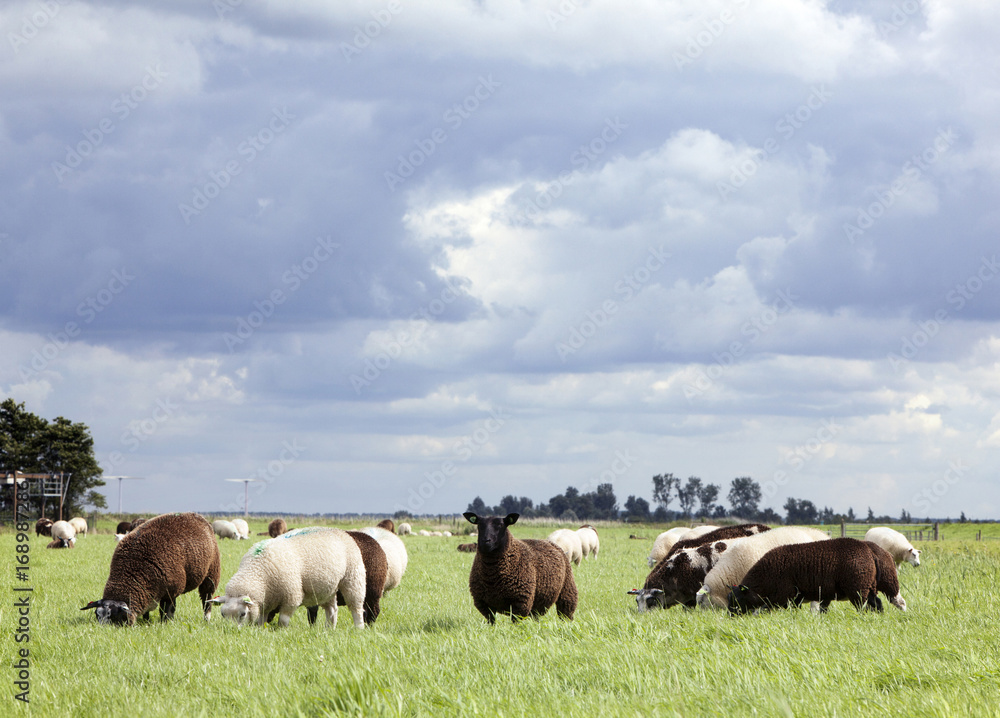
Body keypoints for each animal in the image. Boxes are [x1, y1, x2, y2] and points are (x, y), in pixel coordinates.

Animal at [81, 516, 223, 628]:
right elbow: (148, 611)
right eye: (97, 615)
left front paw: (166, 623)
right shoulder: (147, 591)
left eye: (115, 616)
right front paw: (147, 621)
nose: (102, 631)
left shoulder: (170, 591)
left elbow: (166, 611)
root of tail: (197, 516)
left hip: (211, 575)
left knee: (206, 599)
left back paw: (206, 619)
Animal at [211, 528, 368, 632]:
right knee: (332, 610)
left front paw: (282, 632)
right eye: (223, 614)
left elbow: (283, 619)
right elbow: (262, 618)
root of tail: (340, 531)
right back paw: (329, 629)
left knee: (356, 607)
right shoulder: (265, 600)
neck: (257, 572)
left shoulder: (292, 595)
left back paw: (359, 628)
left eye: (243, 614)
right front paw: (260, 630)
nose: (231, 631)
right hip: (326, 587)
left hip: (353, 578)